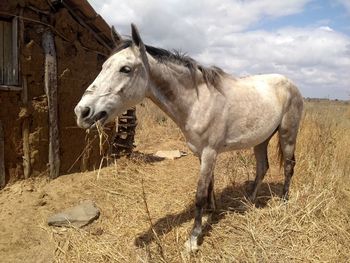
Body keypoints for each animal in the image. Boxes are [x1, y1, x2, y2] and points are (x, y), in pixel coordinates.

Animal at [74, 24, 304, 252]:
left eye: (126, 69)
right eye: (104, 66)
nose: (82, 112)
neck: (197, 102)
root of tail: (291, 84)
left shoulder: (210, 152)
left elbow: (200, 194)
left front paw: (193, 239)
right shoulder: (201, 154)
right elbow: (209, 186)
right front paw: (210, 214)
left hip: (288, 134)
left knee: (288, 166)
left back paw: (283, 202)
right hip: (261, 140)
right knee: (262, 167)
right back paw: (247, 202)